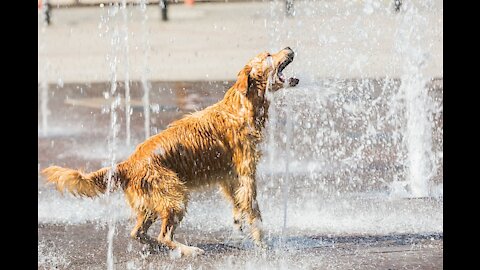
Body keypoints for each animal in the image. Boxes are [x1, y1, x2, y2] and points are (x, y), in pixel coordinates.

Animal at [44, 47, 300, 256]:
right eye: (268, 55)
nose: (289, 47)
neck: (241, 107)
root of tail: (127, 164)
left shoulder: (229, 174)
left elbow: (238, 202)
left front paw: (239, 222)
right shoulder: (246, 171)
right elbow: (254, 209)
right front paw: (262, 242)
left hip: (153, 202)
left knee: (138, 233)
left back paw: (159, 248)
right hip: (175, 195)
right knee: (163, 235)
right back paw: (189, 250)